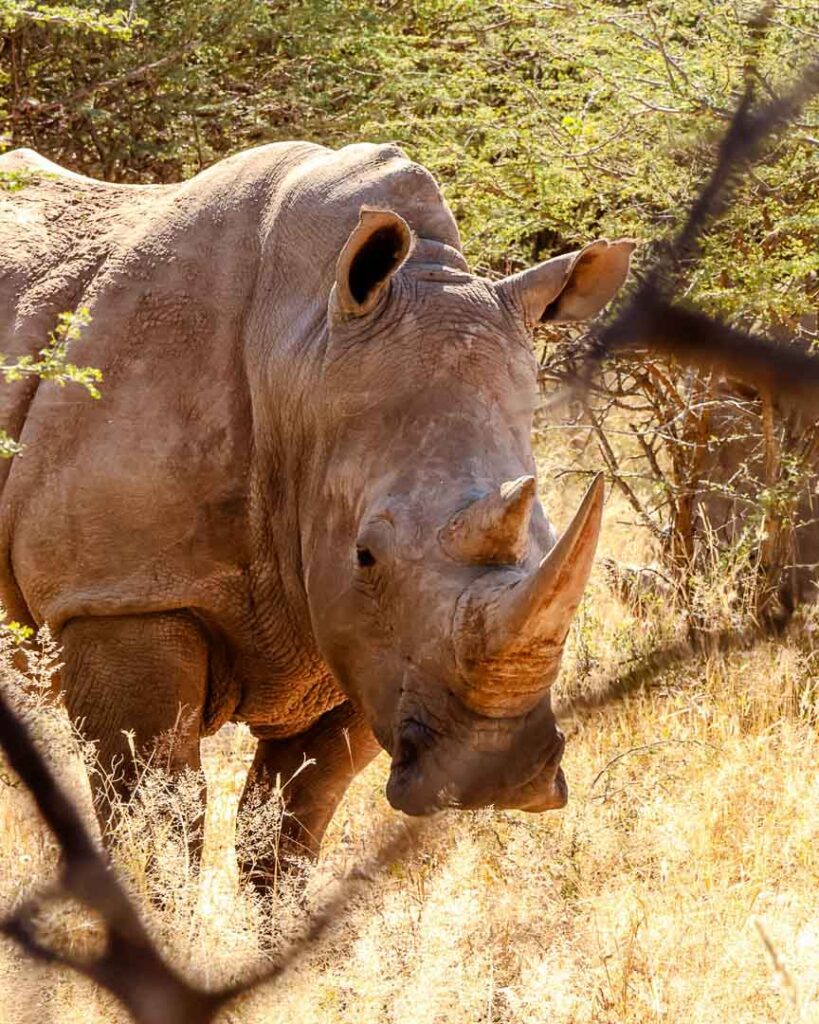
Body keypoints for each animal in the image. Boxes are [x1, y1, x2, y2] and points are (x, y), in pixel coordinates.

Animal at [0, 142, 632, 876]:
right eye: (366, 555)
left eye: (547, 534)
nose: (497, 779)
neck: (301, 358)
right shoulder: (121, 594)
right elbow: (159, 824)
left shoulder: (363, 644)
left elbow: (287, 830)